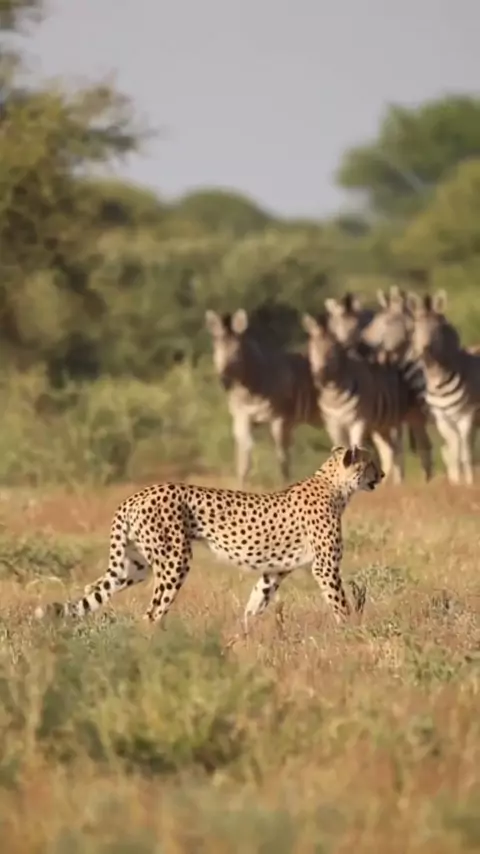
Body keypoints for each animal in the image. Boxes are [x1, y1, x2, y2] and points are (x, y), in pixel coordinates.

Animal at [34, 445, 384, 636]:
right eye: (370, 463)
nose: (380, 476)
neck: (334, 485)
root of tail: (136, 495)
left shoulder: (273, 573)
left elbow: (255, 604)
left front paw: (242, 637)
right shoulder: (325, 567)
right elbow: (340, 603)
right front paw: (351, 634)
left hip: (134, 567)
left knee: (92, 590)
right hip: (174, 560)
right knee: (151, 614)